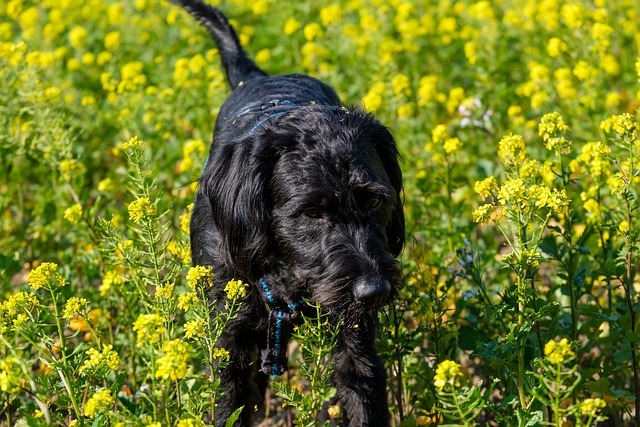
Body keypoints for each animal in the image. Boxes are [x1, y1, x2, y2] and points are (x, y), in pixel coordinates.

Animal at [175, 1, 404, 426]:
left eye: (373, 202)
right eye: (311, 212)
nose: (374, 291)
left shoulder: (355, 338)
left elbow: (362, 394)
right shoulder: (228, 339)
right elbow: (229, 404)